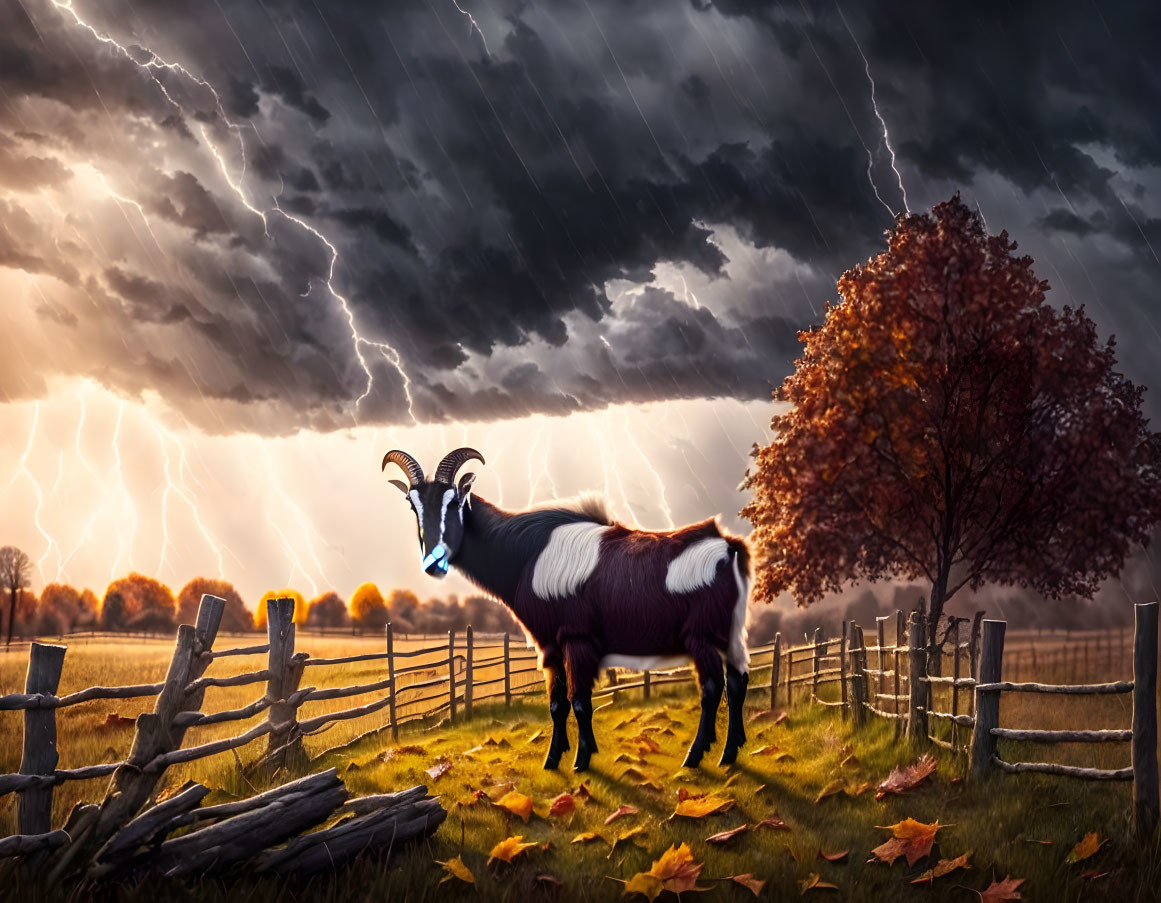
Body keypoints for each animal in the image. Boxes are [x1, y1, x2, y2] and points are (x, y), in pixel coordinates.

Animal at [380, 445, 743, 770]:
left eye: (454, 501)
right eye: (412, 504)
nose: (434, 562)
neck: (526, 551)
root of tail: (728, 547)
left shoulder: (575, 640)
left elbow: (579, 701)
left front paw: (582, 761)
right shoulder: (551, 646)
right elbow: (557, 704)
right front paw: (555, 759)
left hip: (701, 638)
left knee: (713, 687)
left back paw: (695, 756)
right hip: (732, 637)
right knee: (738, 681)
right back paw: (729, 753)